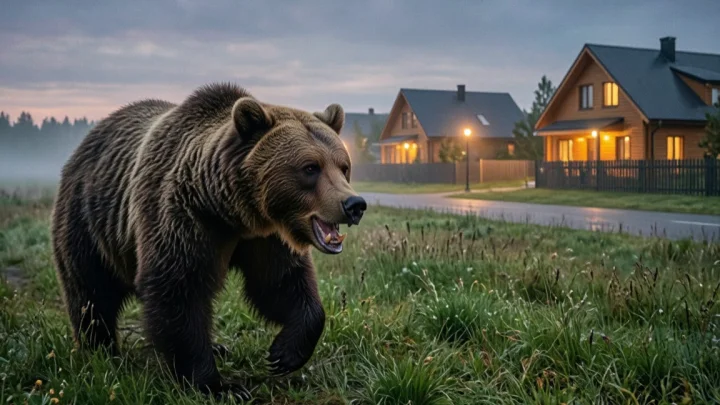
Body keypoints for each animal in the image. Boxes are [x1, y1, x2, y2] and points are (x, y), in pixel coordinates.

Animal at [50, 82, 367, 400]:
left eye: (343, 166)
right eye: (310, 167)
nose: (354, 204)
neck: (232, 213)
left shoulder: (265, 238)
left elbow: (280, 283)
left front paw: (283, 353)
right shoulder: (183, 219)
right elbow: (179, 292)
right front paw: (220, 386)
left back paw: (218, 346)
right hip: (89, 220)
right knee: (90, 292)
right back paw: (101, 351)